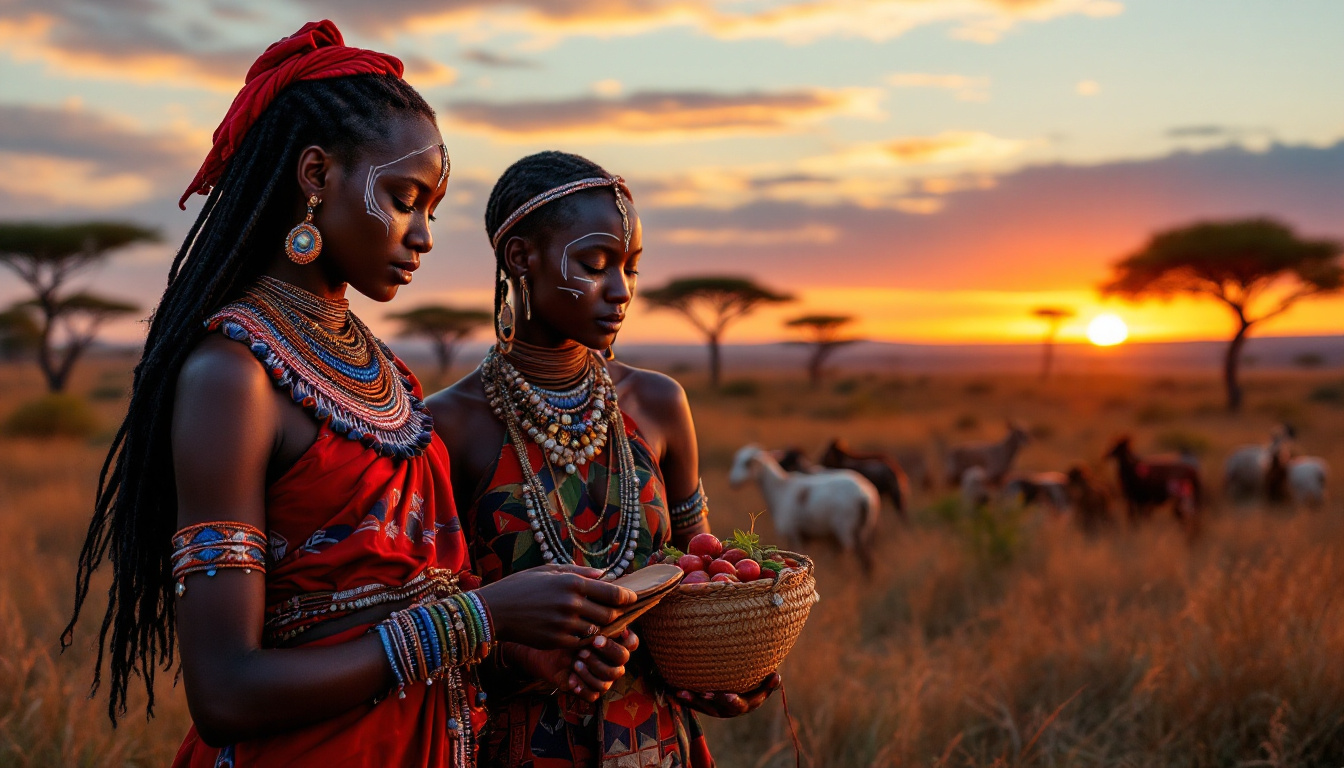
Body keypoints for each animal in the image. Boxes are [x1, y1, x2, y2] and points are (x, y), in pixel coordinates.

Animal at [725, 443, 881, 570]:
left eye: (747, 463)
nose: (732, 482)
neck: (780, 489)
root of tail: (865, 494)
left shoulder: (794, 533)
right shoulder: (806, 537)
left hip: (844, 526)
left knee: (849, 551)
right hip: (864, 529)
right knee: (867, 558)